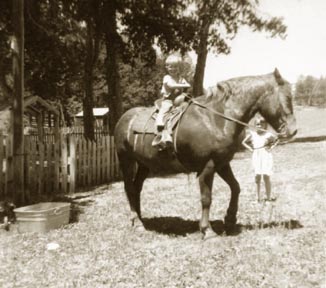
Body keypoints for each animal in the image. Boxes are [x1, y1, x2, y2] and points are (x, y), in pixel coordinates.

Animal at [114, 69, 298, 238]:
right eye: (287, 97)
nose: (293, 130)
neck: (216, 118)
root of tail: (124, 118)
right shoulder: (207, 167)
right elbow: (206, 198)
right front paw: (207, 230)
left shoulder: (222, 164)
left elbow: (235, 187)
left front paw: (230, 220)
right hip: (126, 160)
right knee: (129, 188)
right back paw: (137, 222)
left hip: (144, 164)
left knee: (136, 188)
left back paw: (138, 219)